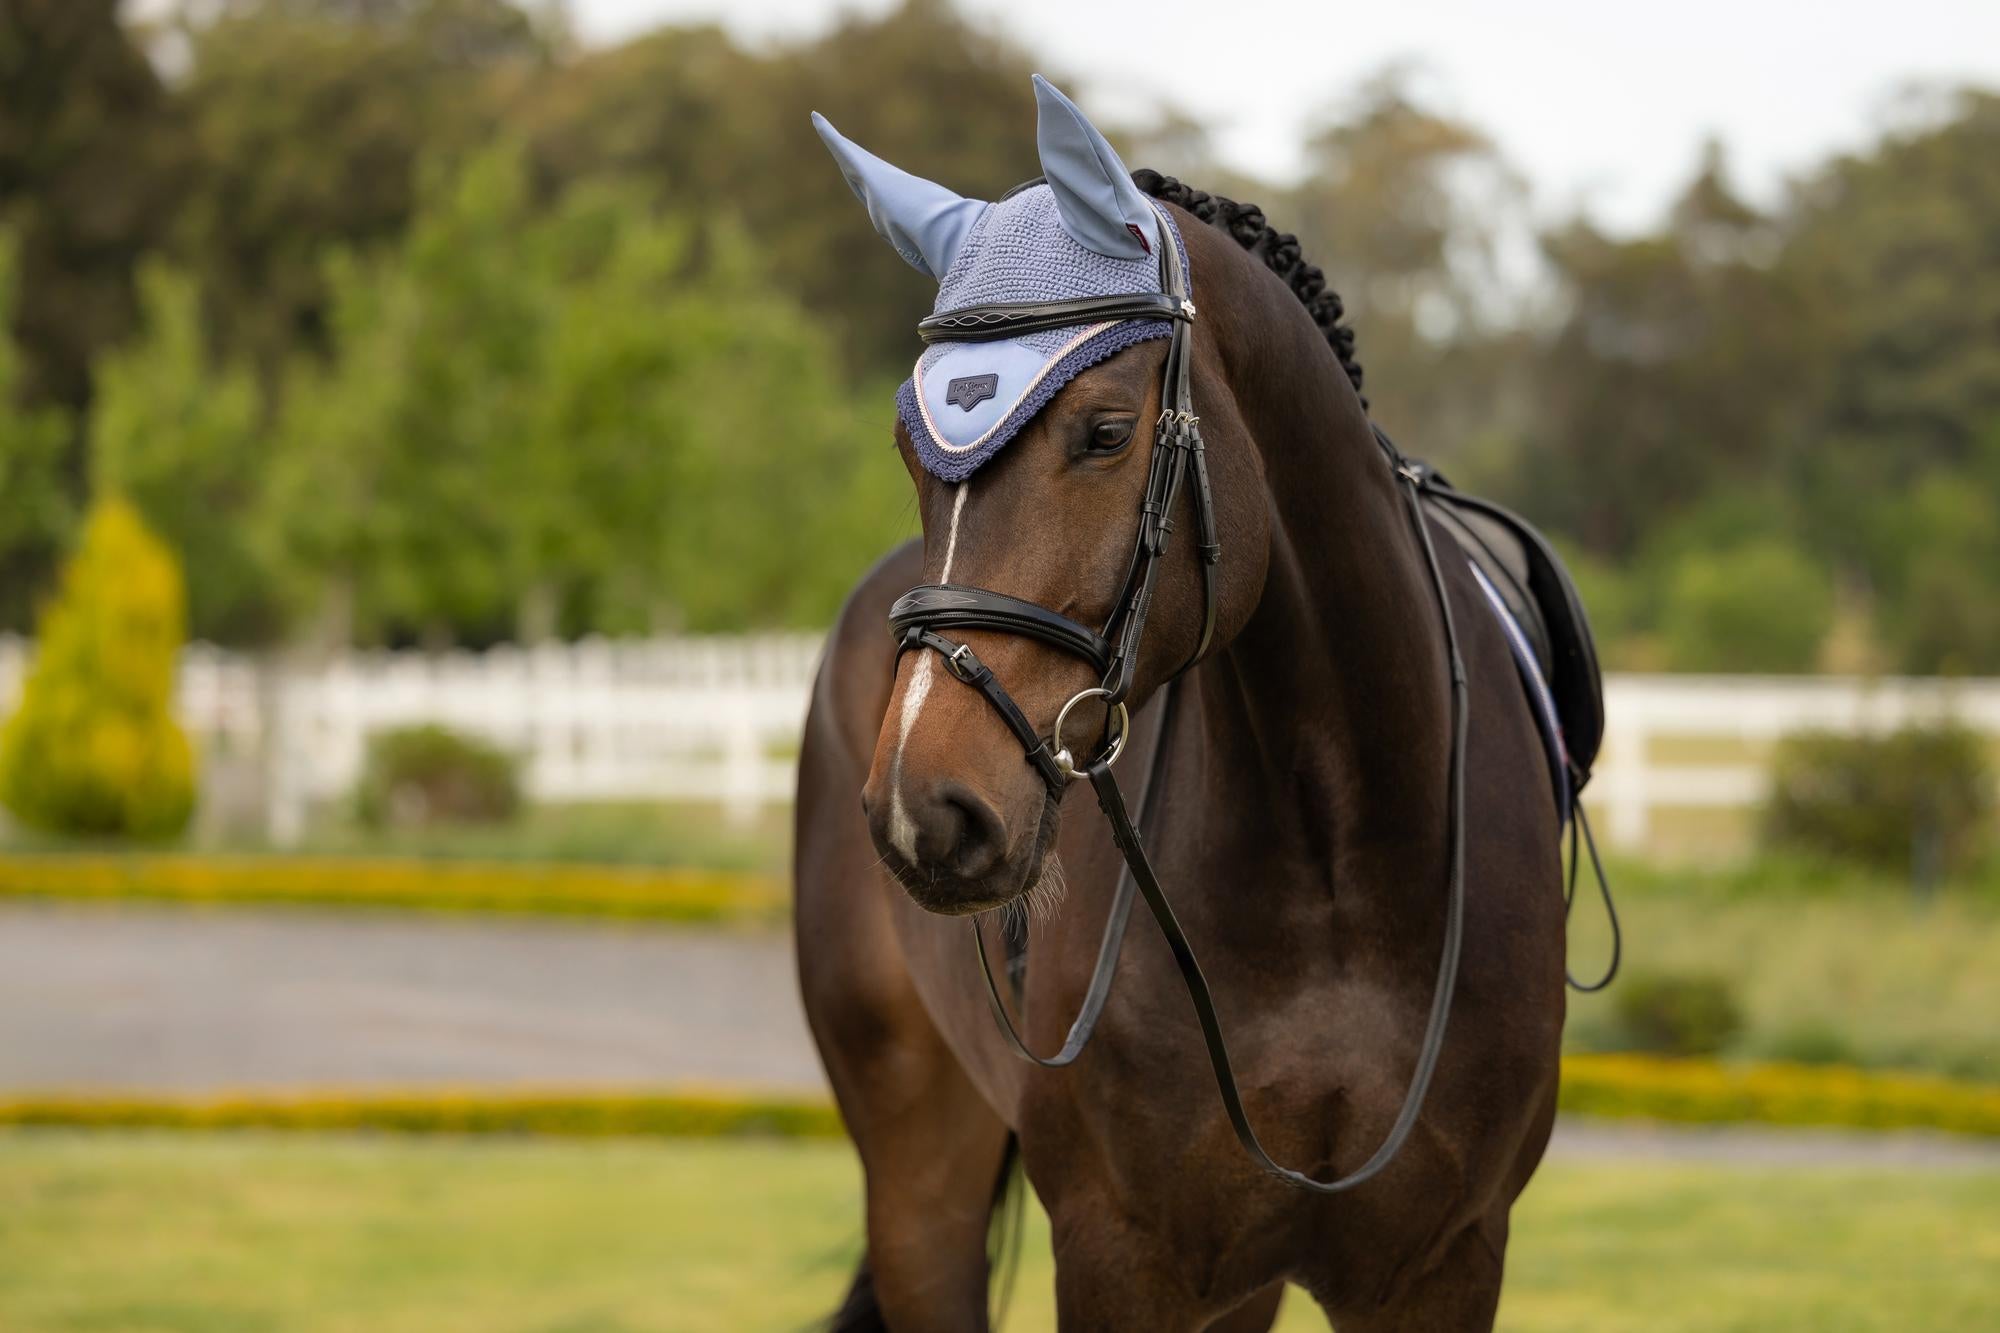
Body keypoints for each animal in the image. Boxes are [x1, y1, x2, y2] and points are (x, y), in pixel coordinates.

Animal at [794, 77, 1568, 1331]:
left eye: (1104, 433)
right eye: (913, 452)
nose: (924, 807)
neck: (1335, 867)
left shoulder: (1442, 1262)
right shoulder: (1122, 1255)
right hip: (920, 1181)